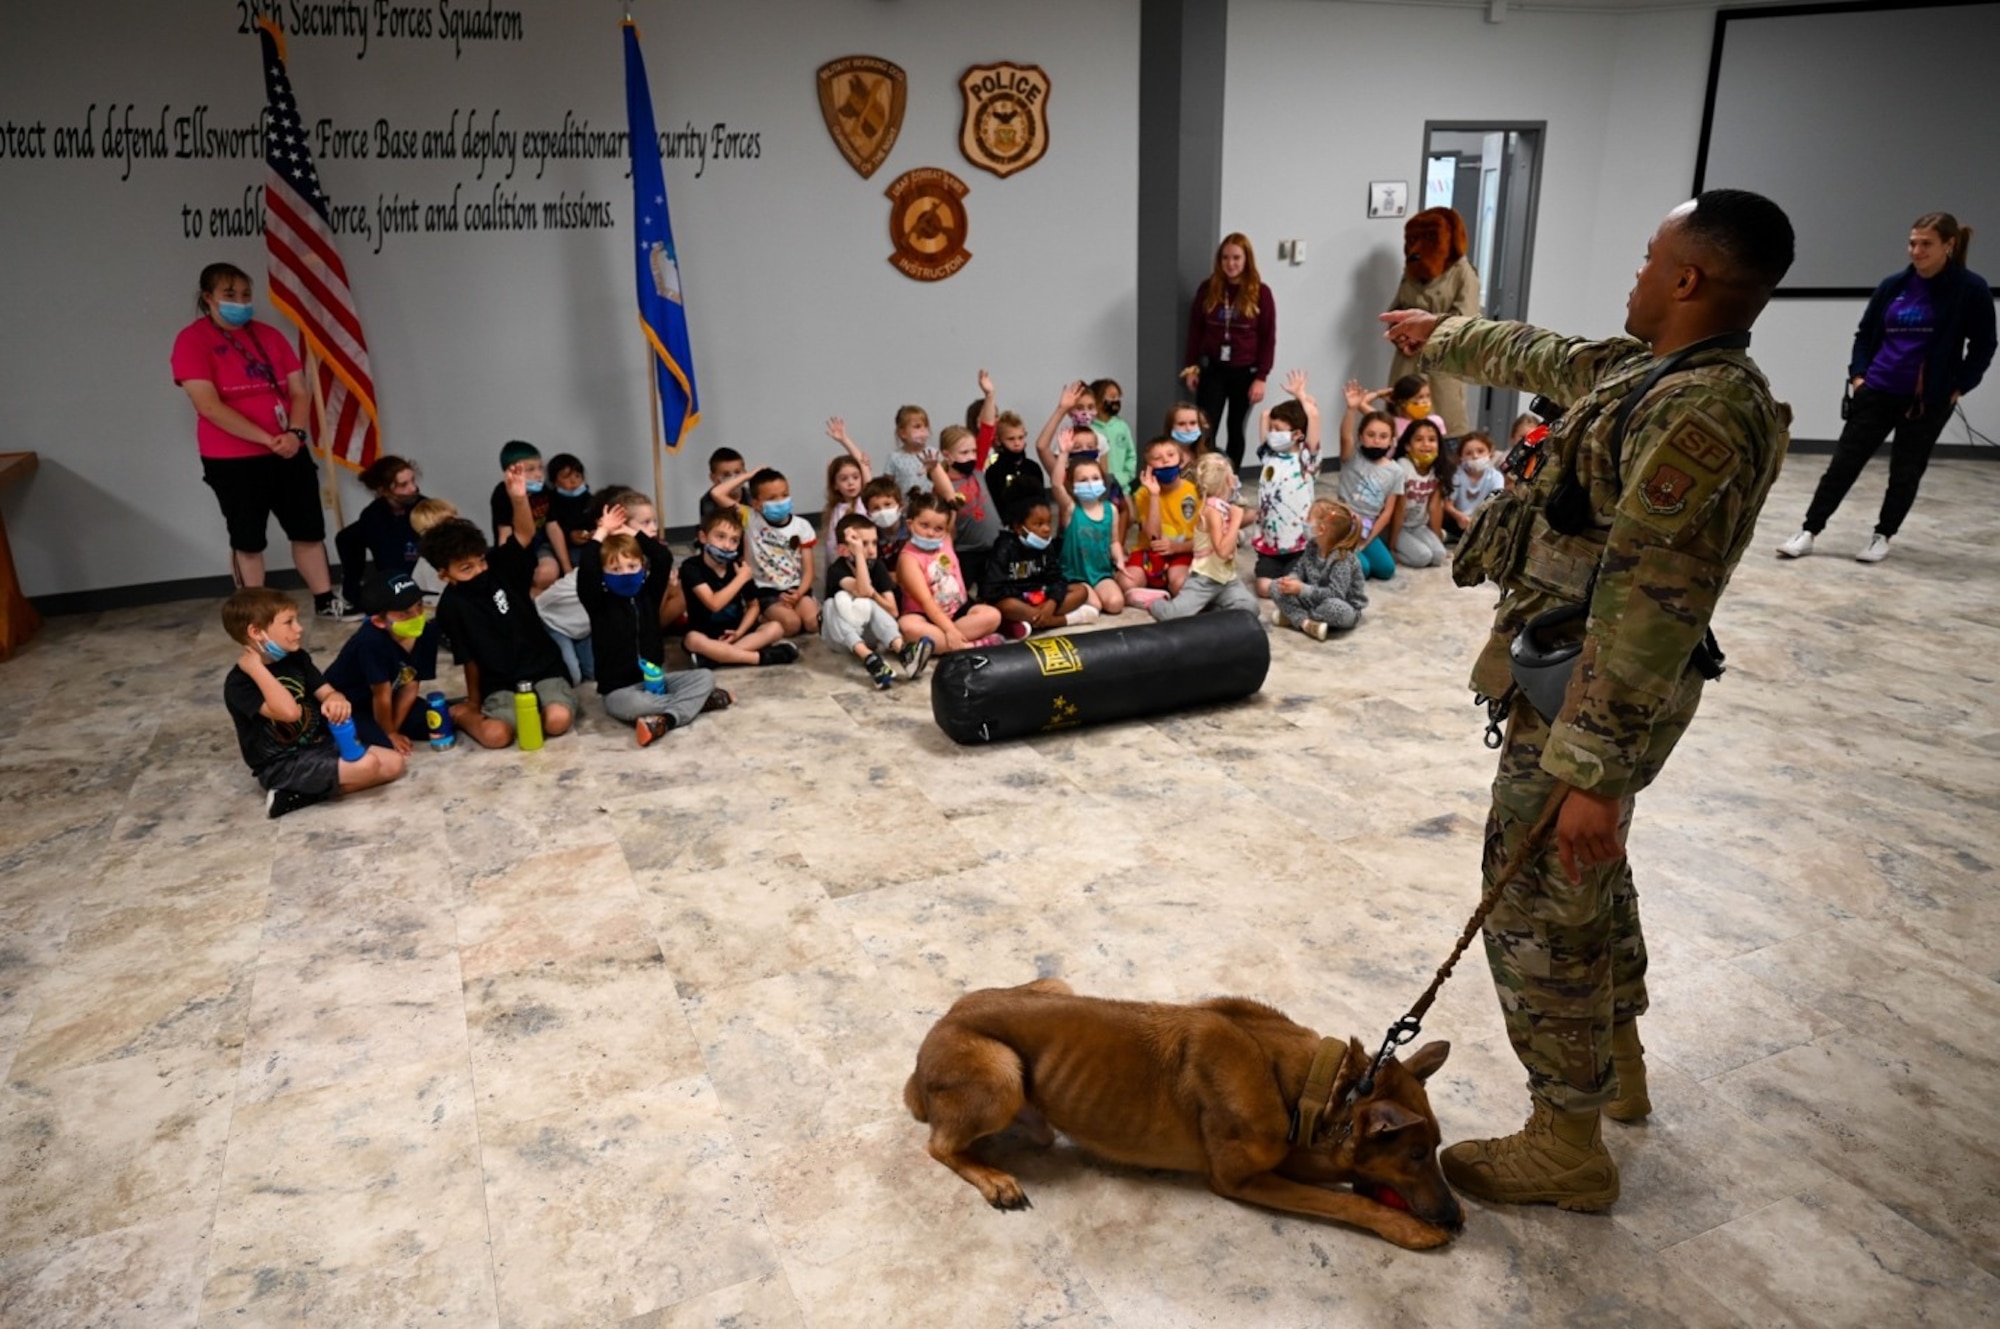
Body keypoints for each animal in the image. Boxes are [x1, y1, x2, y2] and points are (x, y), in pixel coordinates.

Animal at [904, 976, 1456, 1248]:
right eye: (1415, 1155)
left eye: (1436, 1149)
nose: (1456, 1216)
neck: (1320, 1085)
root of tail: (941, 1023)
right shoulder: (1239, 1179)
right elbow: (1343, 1202)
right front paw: (1406, 1227)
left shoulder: (1293, 1151)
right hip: (1001, 1074)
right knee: (939, 1145)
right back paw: (994, 1177)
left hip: (1055, 987)